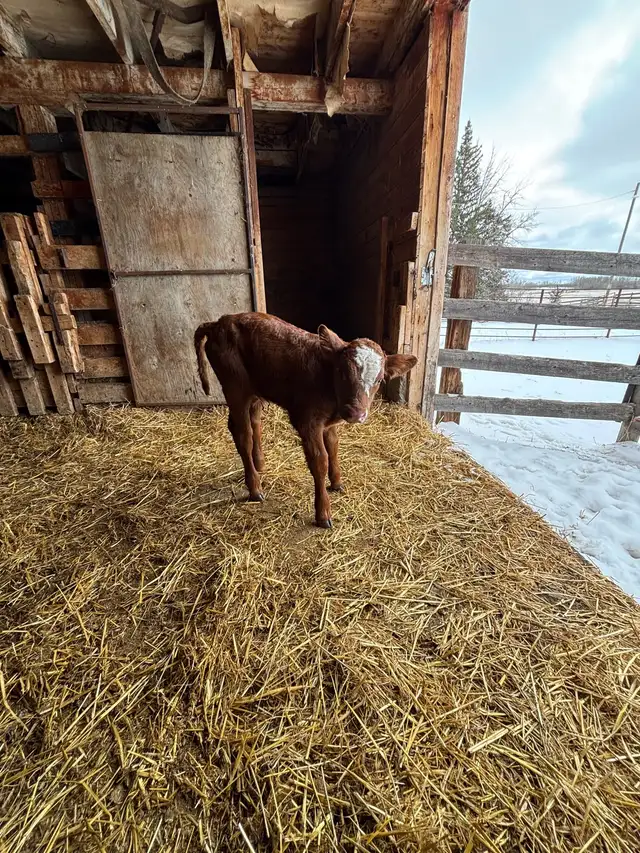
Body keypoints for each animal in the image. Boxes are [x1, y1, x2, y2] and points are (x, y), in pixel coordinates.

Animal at [194, 313, 417, 528]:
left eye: (379, 380)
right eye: (342, 372)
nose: (355, 412)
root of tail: (218, 323)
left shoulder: (329, 424)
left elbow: (333, 447)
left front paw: (337, 483)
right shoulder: (307, 422)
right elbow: (320, 461)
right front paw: (323, 513)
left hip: (256, 388)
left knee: (253, 421)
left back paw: (260, 464)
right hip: (235, 386)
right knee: (242, 434)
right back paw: (255, 488)